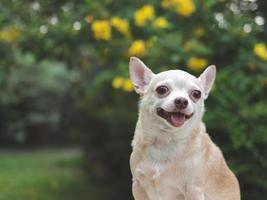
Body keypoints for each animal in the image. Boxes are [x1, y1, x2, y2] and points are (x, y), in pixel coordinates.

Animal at [129, 56, 241, 200]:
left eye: (196, 94)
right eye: (162, 89)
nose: (182, 101)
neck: (166, 141)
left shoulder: (193, 190)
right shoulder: (138, 186)